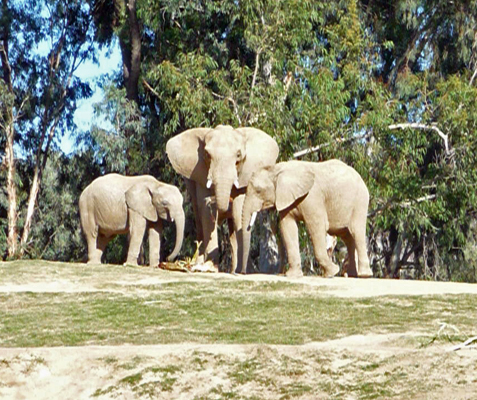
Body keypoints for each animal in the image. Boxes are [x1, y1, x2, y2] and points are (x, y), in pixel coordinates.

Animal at [242, 159, 372, 278]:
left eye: (258, 191)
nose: (242, 273)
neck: (278, 169)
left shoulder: (312, 196)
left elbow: (317, 225)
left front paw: (332, 272)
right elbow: (287, 227)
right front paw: (293, 275)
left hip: (360, 200)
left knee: (356, 232)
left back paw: (364, 275)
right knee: (347, 236)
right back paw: (352, 275)